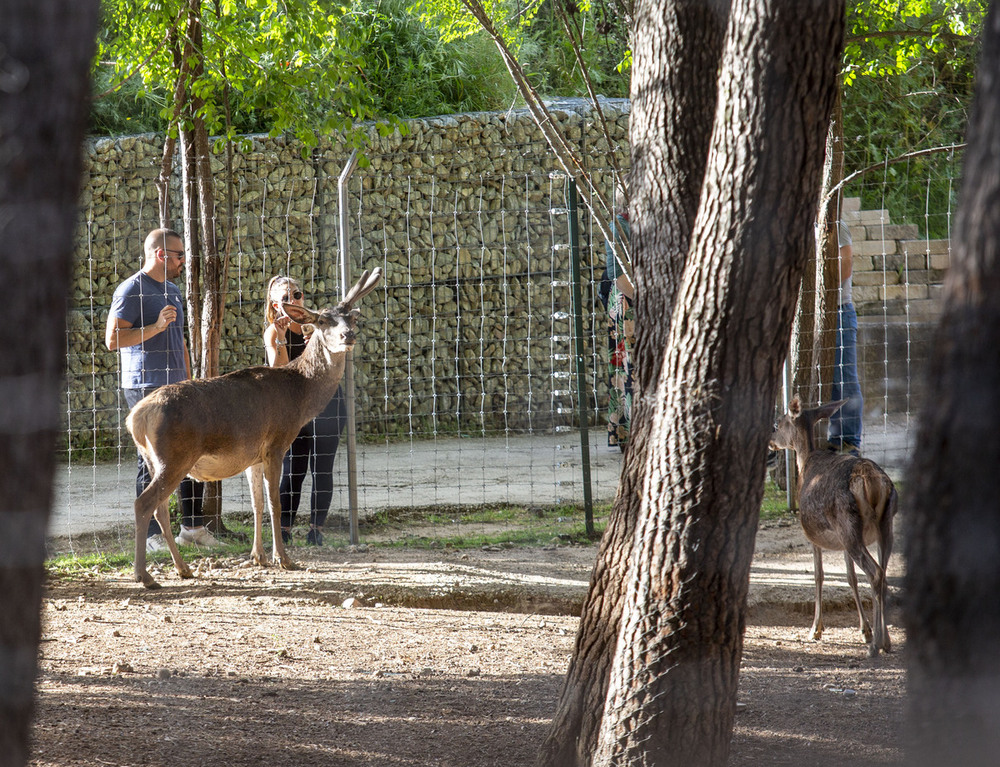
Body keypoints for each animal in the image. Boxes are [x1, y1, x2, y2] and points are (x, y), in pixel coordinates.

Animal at [126, 268, 382, 588]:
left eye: (351, 319)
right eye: (323, 321)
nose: (349, 335)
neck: (300, 396)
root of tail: (135, 417)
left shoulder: (251, 456)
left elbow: (257, 503)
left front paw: (258, 556)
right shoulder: (276, 443)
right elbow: (276, 503)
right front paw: (284, 559)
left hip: (154, 458)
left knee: (159, 508)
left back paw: (183, 568)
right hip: (174, 456)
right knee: (143, 503)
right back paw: (144, 575)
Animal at [772, 400, 900, 656]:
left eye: (777, 423)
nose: (771, 442)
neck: (804, 462)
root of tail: (872, 482)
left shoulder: (811, 534)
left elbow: (819, 575)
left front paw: (815, 630)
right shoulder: (840, 542)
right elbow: (850, 577)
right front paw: (864, 630)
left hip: (847, 524)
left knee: (875, 572)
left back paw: (877, 644)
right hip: (881, 525)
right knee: (883, 572)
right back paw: (886, 641)